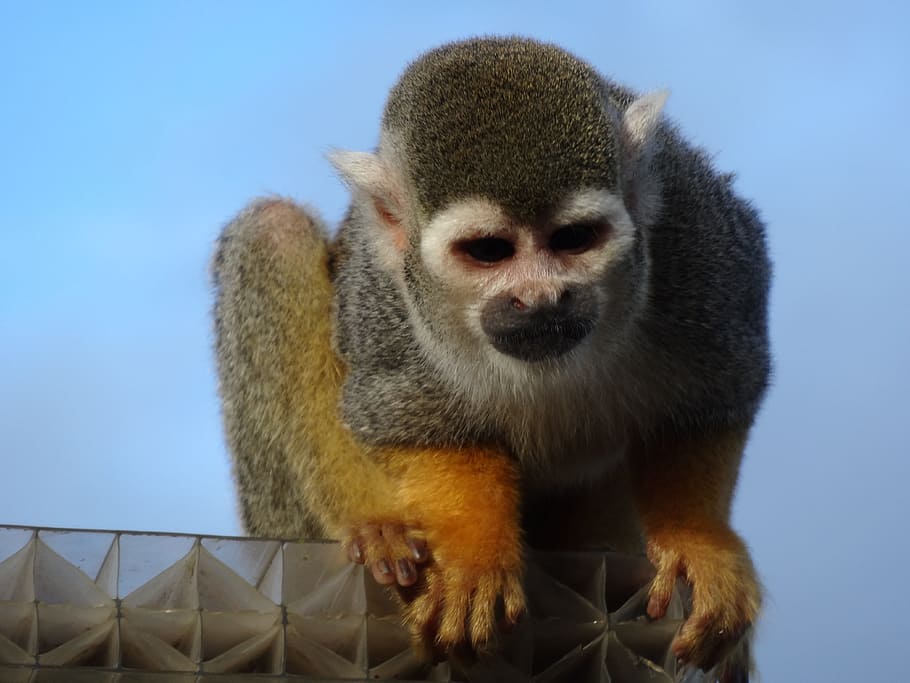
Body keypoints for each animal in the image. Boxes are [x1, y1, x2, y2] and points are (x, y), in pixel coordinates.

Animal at [212, 37, 770, 681]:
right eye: (488, 251)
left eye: (574, 239)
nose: (542, 298)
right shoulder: (389, 294)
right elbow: (402, 414)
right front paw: (471, 548)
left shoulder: (696, 231)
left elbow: (718, 387)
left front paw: (697, 541)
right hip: (274, 515)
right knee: (272, 229)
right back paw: (373, 526)